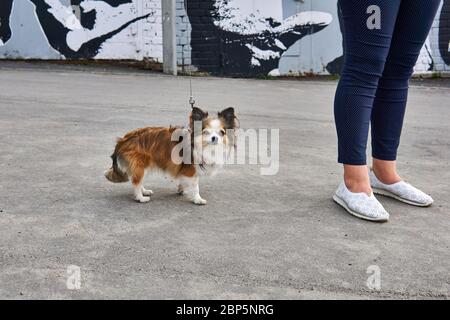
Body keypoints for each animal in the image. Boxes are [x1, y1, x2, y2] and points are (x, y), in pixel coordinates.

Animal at [106, 106, 239, 204]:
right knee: (136, 181)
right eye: (206, 132)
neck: (201, 145)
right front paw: (197, 199)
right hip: (140, 163)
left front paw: (182, 189)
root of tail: (123, 140)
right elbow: (195, 186)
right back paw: (140, 197)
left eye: (221, 132)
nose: (214, 138)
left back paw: (144, 191)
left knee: (137, 179)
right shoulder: (191, 170)